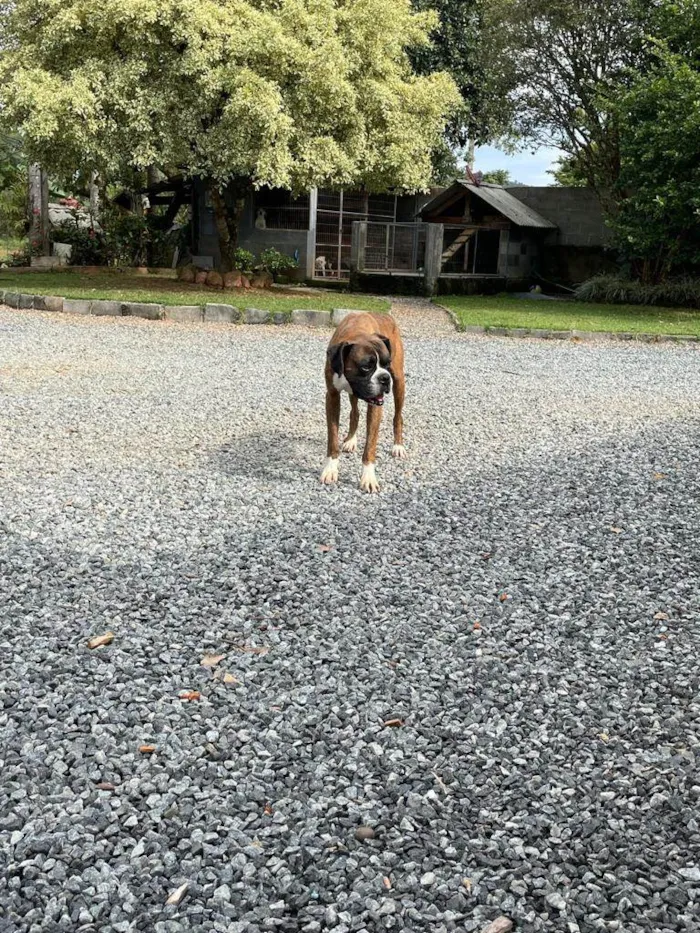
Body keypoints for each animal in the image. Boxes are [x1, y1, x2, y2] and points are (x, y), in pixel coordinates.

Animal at [322, 314, 408, 492]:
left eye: (387, 364)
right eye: (366, 367)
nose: (384, 378)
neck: (357, 331)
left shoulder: (376, 405)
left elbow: (370, 445)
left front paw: (368, 477)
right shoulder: (332, 397)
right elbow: (332, 438)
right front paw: (330, 469)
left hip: (399, 382)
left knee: (398, 417)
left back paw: (398, 446)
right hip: (352, 394)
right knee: (355, 413)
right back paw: (351, 440)